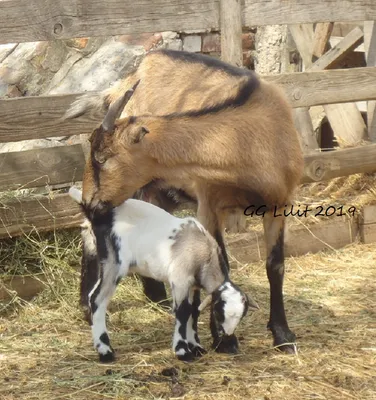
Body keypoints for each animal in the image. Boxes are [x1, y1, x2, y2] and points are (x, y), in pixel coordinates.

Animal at [66, 49, 304, 354]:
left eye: (102, 158)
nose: (89, 201)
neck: (249, 138)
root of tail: (122, 83)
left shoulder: (279, 203)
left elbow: (275, 265)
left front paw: (283, 335)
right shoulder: (209, 203)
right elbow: (221, 265)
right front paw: (224, 339)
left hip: (157, 191)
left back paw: (157, 296)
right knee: (89, 231)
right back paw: (88, 306)